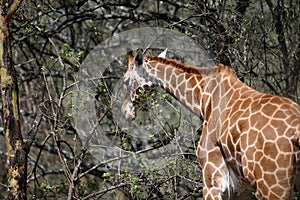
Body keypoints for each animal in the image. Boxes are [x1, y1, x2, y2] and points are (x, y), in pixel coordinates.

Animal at [120, 48, 300, 200]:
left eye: (125, 80)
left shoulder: (213, 182)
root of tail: (295, 131)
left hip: (271, 186)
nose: (125, 112)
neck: (204, 101)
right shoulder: (241, 189)